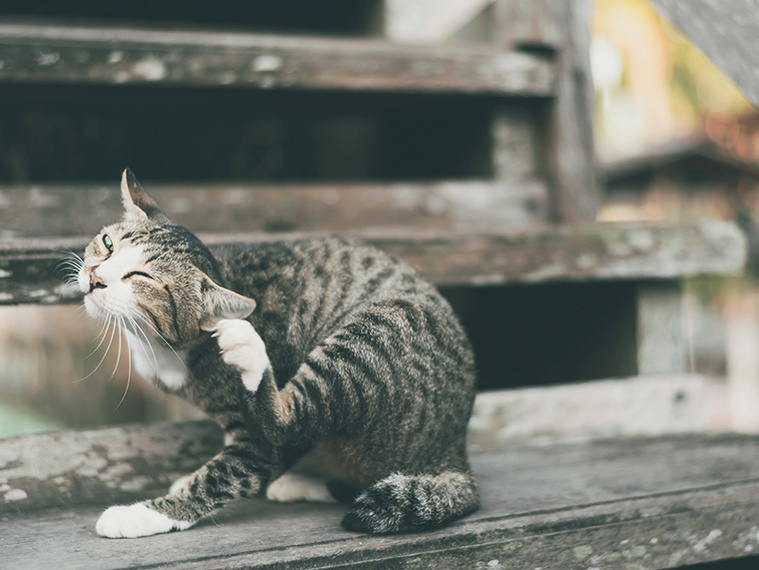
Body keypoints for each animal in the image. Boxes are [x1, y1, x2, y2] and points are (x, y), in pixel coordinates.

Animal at [78, 168, 480, 536]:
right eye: (108, 243)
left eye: (141, 278)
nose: (95, 278)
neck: (165, 345)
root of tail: (455, 451)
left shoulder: (257, 446)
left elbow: (231, 471)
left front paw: (145, 514)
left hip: (374, 331)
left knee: (286, 425)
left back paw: (251, 354)